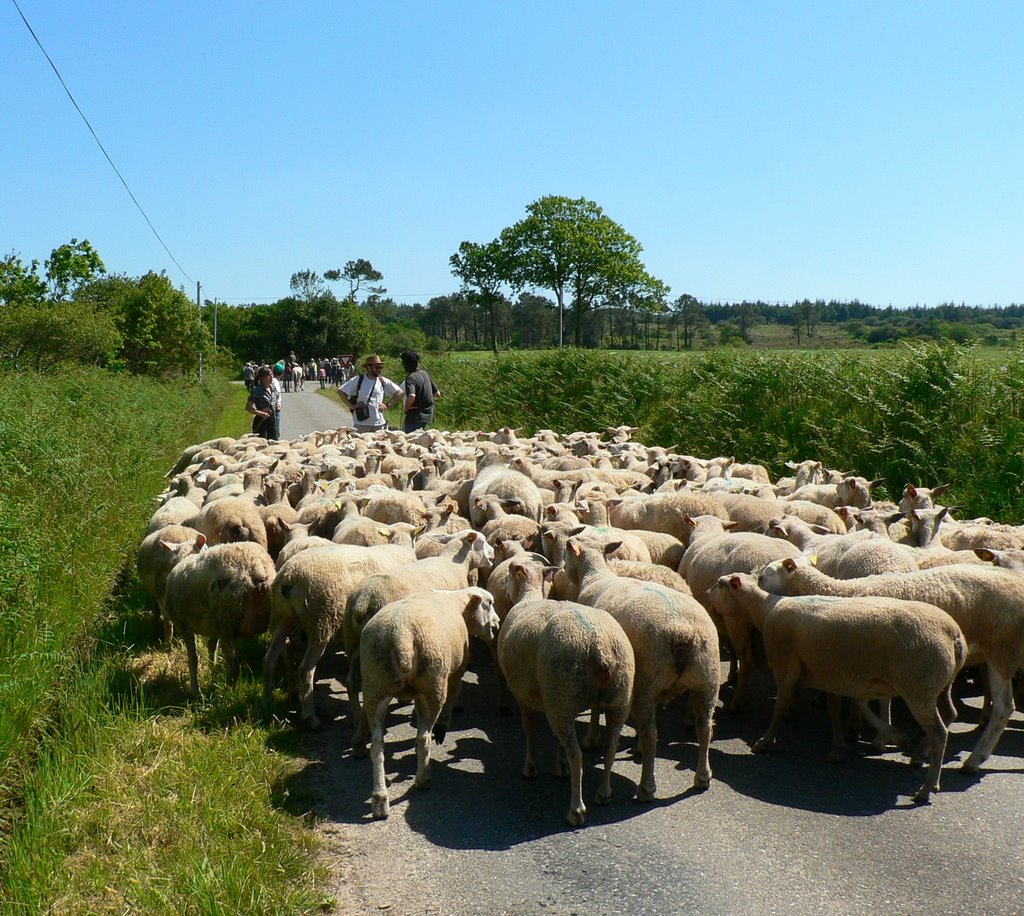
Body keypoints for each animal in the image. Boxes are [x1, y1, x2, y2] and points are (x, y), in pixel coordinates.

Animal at [362, 589, 501, 818]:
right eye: (489, 603)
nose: (497, 624)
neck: (458, 604)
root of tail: (401, 635)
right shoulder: (455, 673)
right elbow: (454, 694)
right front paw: (443, 727)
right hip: (433, 682)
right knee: (423, 736)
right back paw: (423, 778)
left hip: (375, 685)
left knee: (376, 746)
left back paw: (380, 800)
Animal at [495, 569, 630, 826]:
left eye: (509, 576)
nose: (503, 589)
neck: (528, 597)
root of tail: (599, 647)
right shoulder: (556, 700)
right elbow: (558, 740)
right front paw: (559, 767)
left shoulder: (523, 694)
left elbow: (528, 729)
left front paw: (531, 767)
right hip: (614, 699)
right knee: (610, 748)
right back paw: (603, 793)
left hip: (562, 692)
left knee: (576, 755)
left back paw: (576, 810)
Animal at [561, 532, 720, 798]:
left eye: (566, 554)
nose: (561, 569)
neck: (596, 577)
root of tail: (683, 632)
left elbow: (595, 708)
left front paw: (592, 738)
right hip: (706, 677)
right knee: (704, 726)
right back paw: (703, 777)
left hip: (648, 679)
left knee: (652, 733)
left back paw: (646, 786)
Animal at [708, 573, 962, 802]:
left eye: (720, 584)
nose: (706, 594)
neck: (765, 611)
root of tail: (953, 634)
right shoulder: (829, 675)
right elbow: (834, 710)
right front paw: (838, 748)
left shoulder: (785, 668)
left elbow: (780, 707)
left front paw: (765, 741)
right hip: (937, 686)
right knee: (949, 713)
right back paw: (914, 753)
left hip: (919, 688)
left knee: (938, 732)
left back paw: (927, 787)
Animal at [757, 552, 1024, 773]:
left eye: (769, 572)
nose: (757, 579)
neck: (841, 591)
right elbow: (882, 698)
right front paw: (883, 735)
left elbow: (877, 700)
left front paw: (881, 737)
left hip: (1001, 651)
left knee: (1003, 707)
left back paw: (974, 759)